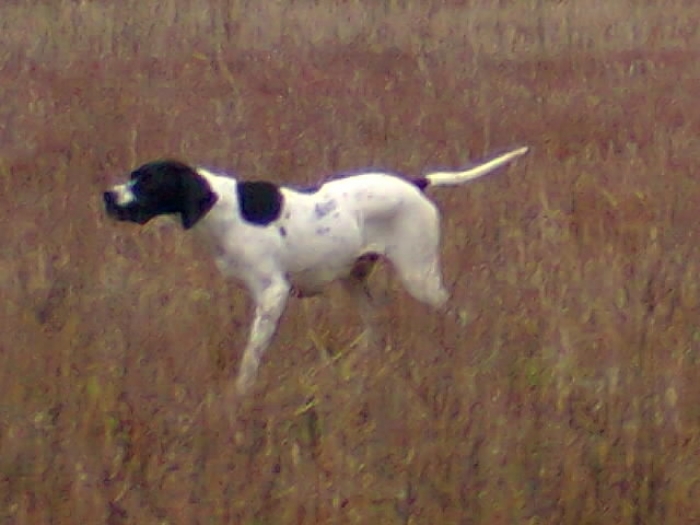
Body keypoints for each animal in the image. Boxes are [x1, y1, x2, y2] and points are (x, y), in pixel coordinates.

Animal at [103, 146, 528, 393]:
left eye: (148, 181)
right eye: (132, 176)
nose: (107, 195)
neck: (221, 209)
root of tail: (415, 183)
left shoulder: (273, 294)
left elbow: (251, 355)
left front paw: (241, 393)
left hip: (419, 276)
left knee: (456, 314)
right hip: (356, 281)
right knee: (376, 323)